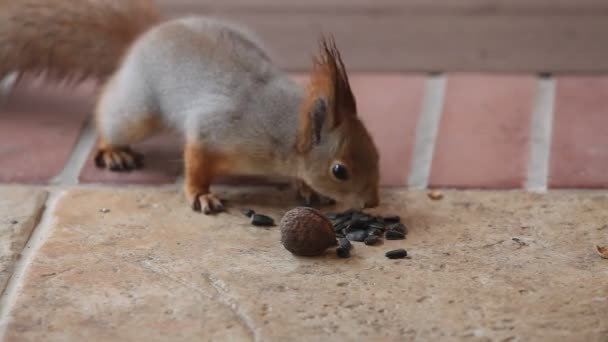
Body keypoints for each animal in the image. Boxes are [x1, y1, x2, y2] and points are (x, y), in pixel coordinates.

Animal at [1, 0, 380, 214]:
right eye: (339, 170)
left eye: (376, 152)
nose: (373, 203)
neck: (283, 127)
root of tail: (148, 34)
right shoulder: (216, 131)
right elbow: (196, 162)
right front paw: (201, 195)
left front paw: (306, 188)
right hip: (138, 109)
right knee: (110, 109)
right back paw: (113, 150)